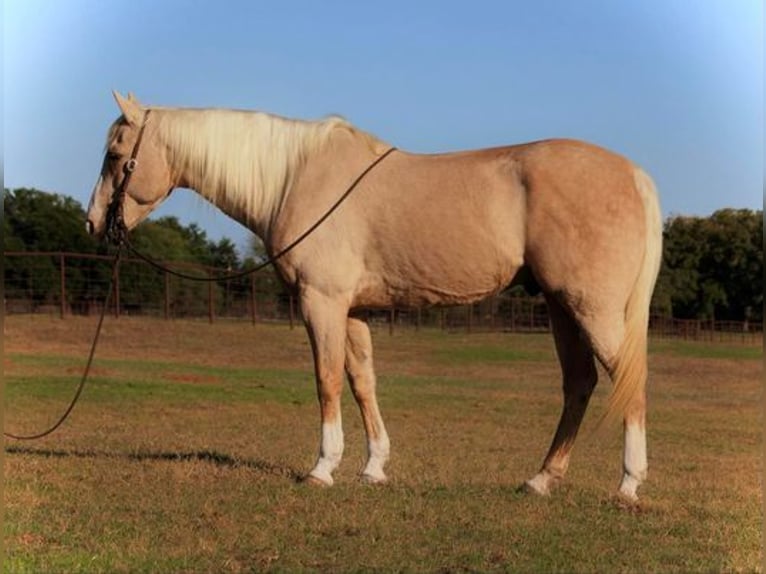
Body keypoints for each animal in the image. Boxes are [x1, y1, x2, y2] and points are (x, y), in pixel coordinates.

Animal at [87, 91, 664, 504]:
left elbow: (326, 380)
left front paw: (322, 468)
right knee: (580, 385)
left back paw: (628, 484)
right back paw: (541, 480)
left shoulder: (321, 302)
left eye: (115, 155)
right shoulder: (354, 310)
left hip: (591, 309)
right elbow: (363, 382)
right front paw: (373, 468)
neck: (296, 178)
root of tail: (634, 174)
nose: (94, 223)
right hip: (562, 309)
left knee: (627, 382)